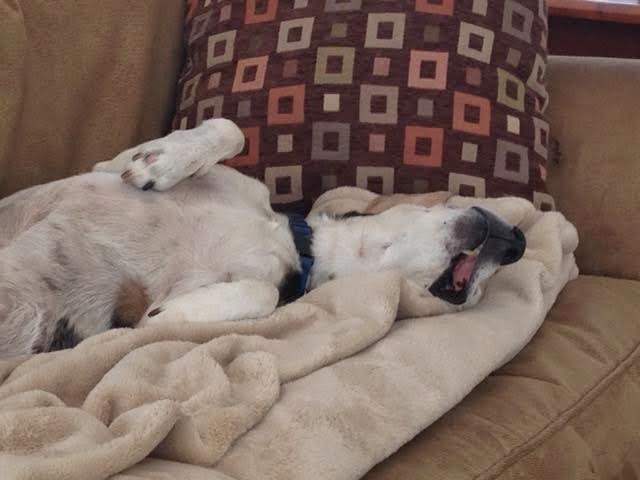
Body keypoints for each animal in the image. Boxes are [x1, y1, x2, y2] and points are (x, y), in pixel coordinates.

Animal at [0, 119, 526, 359]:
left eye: (462, 293)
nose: (517, 242)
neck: (294, 243)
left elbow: (263, 293)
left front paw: (170, 315)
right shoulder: (110, 165)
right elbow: (228, 129)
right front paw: (165, 162)